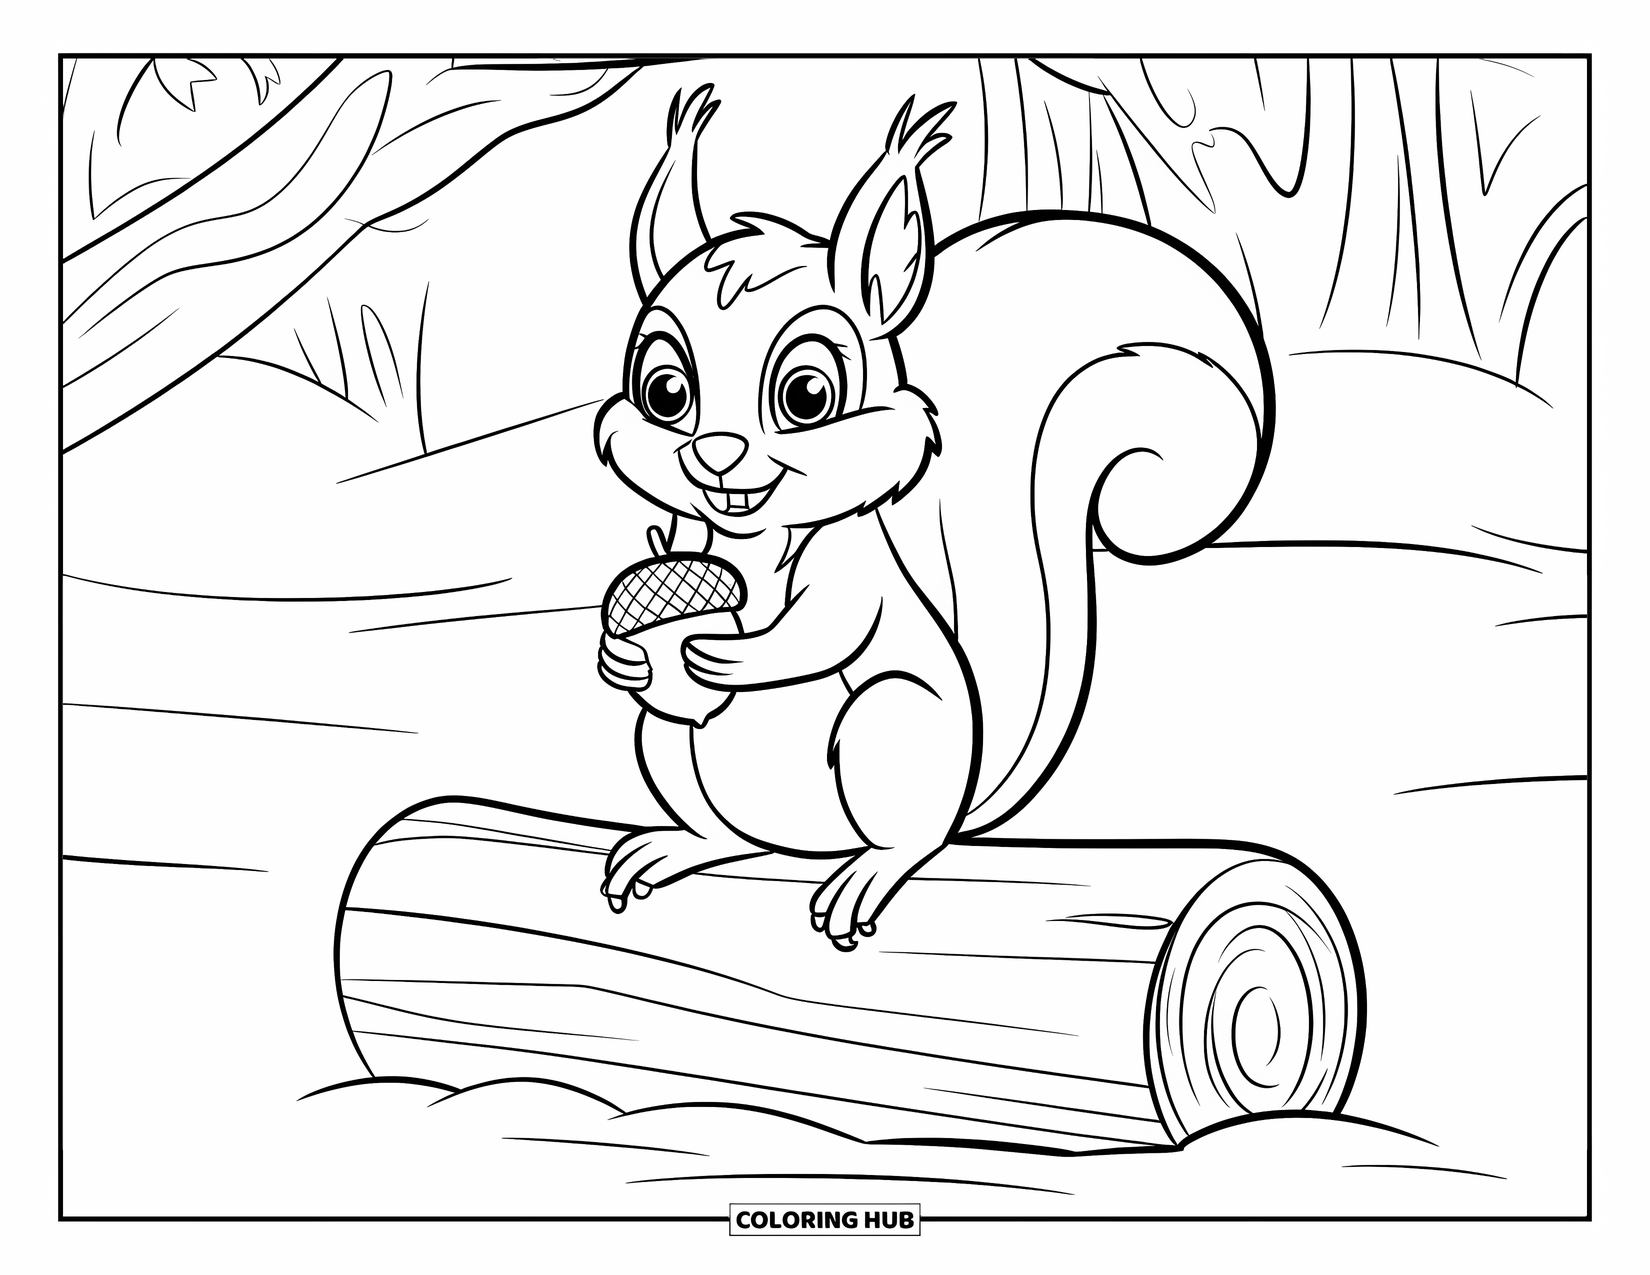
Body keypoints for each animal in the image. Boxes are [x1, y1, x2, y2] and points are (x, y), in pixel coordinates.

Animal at [594, 86, 1273, 950]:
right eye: (665, 392)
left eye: (807, 395)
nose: (714, 453)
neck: (757, 540)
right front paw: (629, 658)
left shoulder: (850, 571)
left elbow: (825, 627)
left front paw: (727, 657)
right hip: (668, 748)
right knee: (728, 828)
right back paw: (682, 844)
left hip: (892, 722)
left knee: (911, 836)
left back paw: (871, 869)